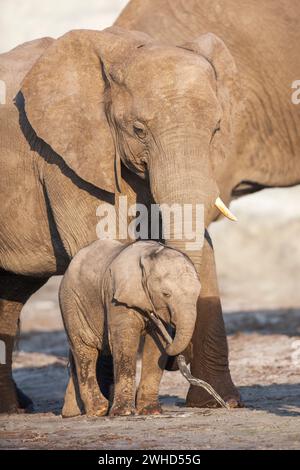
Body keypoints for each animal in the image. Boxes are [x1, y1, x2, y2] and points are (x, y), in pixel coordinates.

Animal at [59, 241, 200, 416]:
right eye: (166, 294)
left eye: (198, 294)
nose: (183, 353)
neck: (148, 256)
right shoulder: (116, 298)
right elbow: (125, 341)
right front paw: (123, 413)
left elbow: (155, 347)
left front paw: (151, 411)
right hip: (71, 302)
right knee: (85, 350)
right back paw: (98, 410)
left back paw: (72, 413)